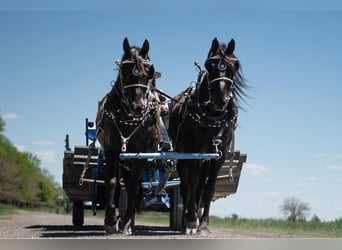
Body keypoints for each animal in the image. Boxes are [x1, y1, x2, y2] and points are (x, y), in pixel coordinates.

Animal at [95, 37, 161, 234]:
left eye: (148, 73)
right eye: (124, 71)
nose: (137, 107)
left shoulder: (140, 155)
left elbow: (132, 187)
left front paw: (125, 223)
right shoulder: (111, 151)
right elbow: (111, 182)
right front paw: (110, 220)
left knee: (135, 184)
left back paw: (129, 221)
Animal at [168, 37, 248, 234]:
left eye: (235, 65)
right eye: (208, 65)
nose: (221, 99)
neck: (212, 116)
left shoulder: (219, 155)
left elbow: (208, 189)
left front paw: (203, 223)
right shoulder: (192, 152)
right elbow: (191, 183)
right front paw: (190, 220)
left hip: (206, 159)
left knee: (200, 186)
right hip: (183, 155)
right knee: (186, 185)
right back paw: (187, 220)